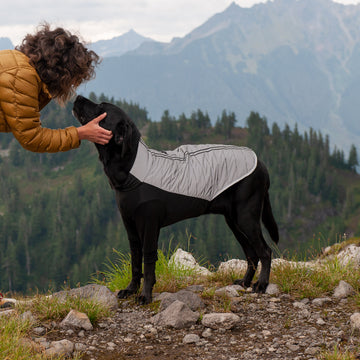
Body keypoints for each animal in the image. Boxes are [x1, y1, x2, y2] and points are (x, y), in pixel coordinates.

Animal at [72, 95, 278, 304]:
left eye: (101, 107)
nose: (78, 96)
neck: (131, 168)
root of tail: (261, 164)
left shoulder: (149, 224)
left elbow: (148, 261)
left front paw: (145, 295)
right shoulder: (130, 227)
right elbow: (135, 261)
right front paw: (131, 289)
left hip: (246, 217)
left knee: (265, 251)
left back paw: (261, 284)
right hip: (234, 221)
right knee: (252, 254)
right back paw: (245, 282)